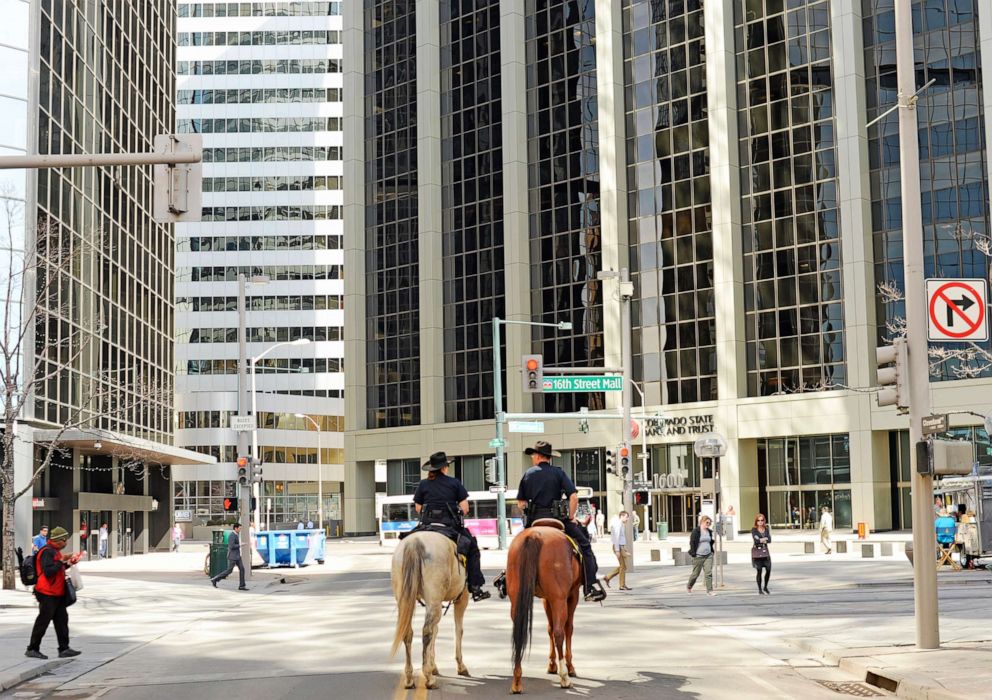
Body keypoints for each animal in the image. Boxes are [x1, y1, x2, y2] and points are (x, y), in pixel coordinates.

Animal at [390, 532, 470, 688]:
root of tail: (414, 542)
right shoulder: (462, 598)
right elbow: (458, 631)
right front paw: (461, 666)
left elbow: (436, 631)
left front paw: (434, 666)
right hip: (435, 601)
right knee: (427, 631)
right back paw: (428, 677)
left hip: (406, 601)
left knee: (408, 632)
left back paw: (409, 678)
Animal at [504, 524, 580, 692]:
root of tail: (534, 535)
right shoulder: (572, 595)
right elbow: (568, 628)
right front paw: (569, 666)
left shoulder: (546, 598)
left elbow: (549, 628)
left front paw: (551, 665)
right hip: (559, 598)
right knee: (559, 632)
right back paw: (564, 677)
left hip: (516, 597)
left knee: (518, 631)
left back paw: (517, 680)